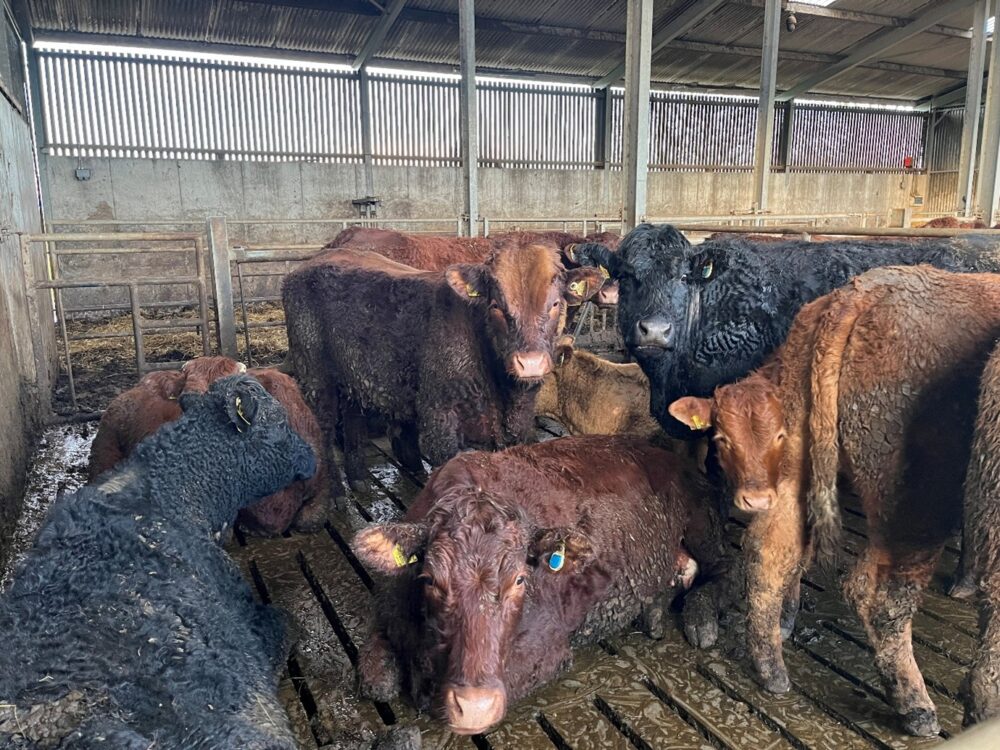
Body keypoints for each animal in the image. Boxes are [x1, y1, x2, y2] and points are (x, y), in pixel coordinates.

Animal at [282, 245, 599, 488]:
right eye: (495, 305)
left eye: (555, 304)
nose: (530, 362)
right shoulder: (438, 414)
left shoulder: (520, 419)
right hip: (314, 374)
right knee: (323, 429)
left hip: (352, 374)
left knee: (352, 419)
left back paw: (359, 478)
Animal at [351, 436, 731, 735]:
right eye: (430, 580)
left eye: (520, 579)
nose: (473, 706)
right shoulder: (389, 611)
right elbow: (377, 681)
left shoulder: (550, 647)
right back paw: (654, 609)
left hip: (702, 524)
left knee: (720, 569)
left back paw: (699, 618)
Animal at [668, 265, 1000, 737]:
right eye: (720, 438)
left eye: (774, 434)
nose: (751, 496)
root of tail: (859, 295)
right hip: (917, 501)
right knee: (882, 595)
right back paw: (919, 706)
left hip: (799, 474)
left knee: (770, 552)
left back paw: (772, 668)